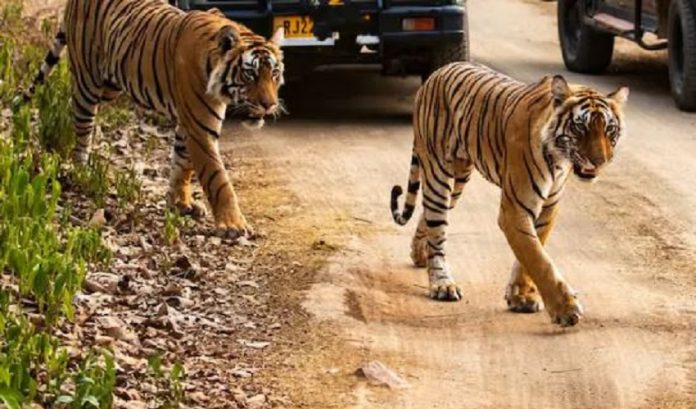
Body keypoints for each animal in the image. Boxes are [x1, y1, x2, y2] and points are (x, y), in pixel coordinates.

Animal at [21, 0, 285, 237]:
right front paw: (233, 225)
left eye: (274, 73)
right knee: (81, 122)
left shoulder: (189, 123)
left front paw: (180, 203)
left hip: (111, 85)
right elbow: (217, 179)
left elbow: (182, 164)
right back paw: (79, 167)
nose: (269, 104)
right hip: (89, 81)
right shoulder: (200, 127)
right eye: (250, 74)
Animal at [390, 62, 628, 327]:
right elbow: (538, 258)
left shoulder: (548, 207)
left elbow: (533, 251)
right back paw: (442, 284)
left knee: (428, 216)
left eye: (609, 129)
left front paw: (521, 297)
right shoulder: (515, 208)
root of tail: (438, 72)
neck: (558, 160)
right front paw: (565, 309)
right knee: (437, 226)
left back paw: (420, 253)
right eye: (580, 127)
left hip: (459, 178)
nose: (600, 162)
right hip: (438, 172)